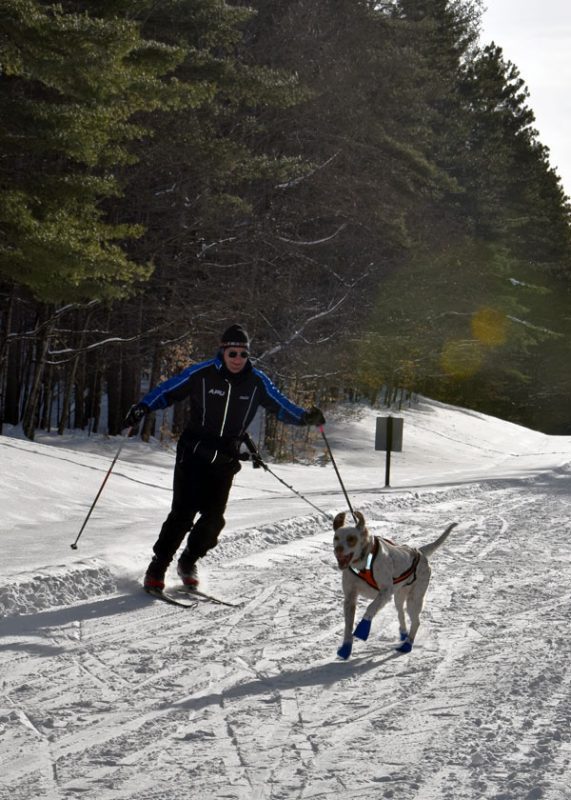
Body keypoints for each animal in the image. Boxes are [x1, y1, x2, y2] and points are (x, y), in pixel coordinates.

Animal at [332, 510, 458, 660]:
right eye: (336, 537)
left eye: (351, 539)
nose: (338, 549)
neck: (363, 563)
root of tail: (419, 552)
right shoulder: (350, 597)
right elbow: (348, 625)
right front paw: (346, 647)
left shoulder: (385, 592)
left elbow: (370, 608)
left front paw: (362, 629)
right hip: (399, 596)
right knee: (400, 613)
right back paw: (403, 633)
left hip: (414, 600)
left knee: (416, 621)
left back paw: (407, 644)